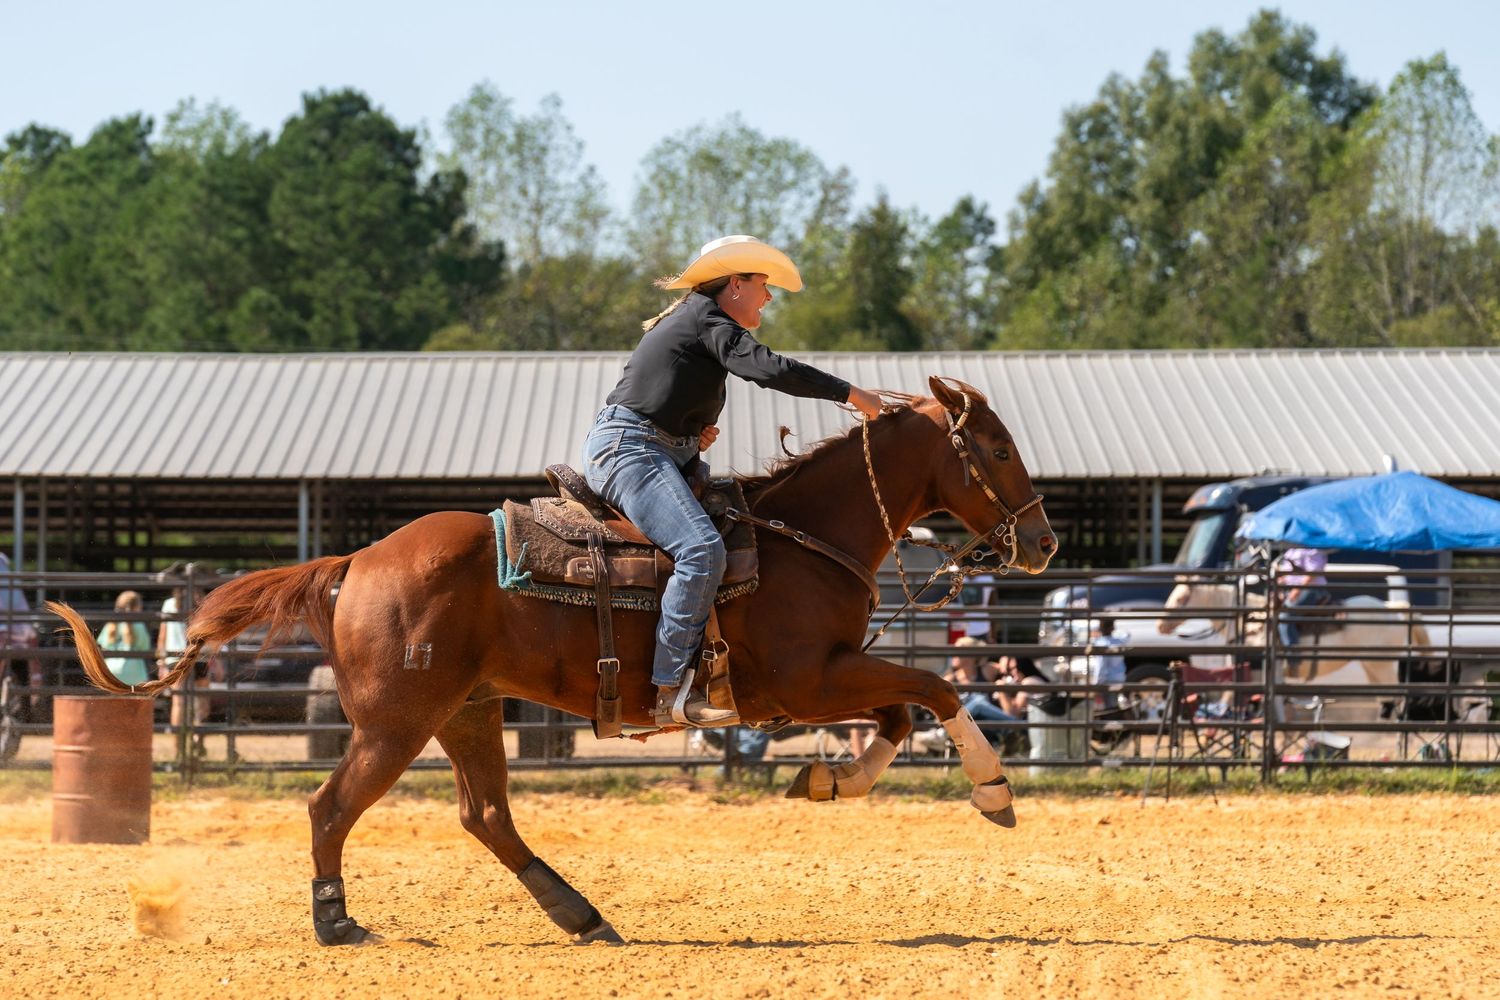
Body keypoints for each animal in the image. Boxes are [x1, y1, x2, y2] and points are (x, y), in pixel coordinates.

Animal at [49, 376, 1056, 947]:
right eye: (999, 446)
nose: (1043, 542)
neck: (800, 538)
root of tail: (355, 563)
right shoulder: (806, 680)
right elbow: (931, 688)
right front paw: (994, 792)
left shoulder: (830, 679)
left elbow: (898, 714)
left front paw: (826, 781)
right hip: (397, 721)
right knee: (332, 806)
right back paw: (336, 923)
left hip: (466, 710)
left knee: (485, 814)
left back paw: (583, 916)